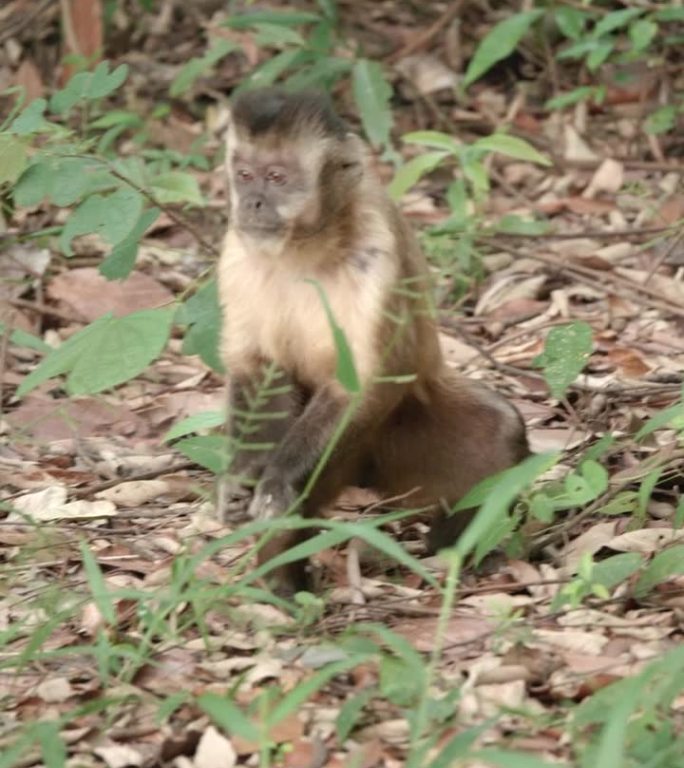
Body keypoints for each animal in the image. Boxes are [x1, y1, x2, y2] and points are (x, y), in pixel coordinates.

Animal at [216, 88, 528, 592]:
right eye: (244, 174)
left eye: (277, 177)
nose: (253, 202)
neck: (308, 246)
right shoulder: (235, 251)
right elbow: (255, 367)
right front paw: (241, 478)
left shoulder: (375, 252)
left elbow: (360, 382)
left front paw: (276, 478)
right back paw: (282, 587)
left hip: (392, 432)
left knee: (501, 428)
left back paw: (456, 548)